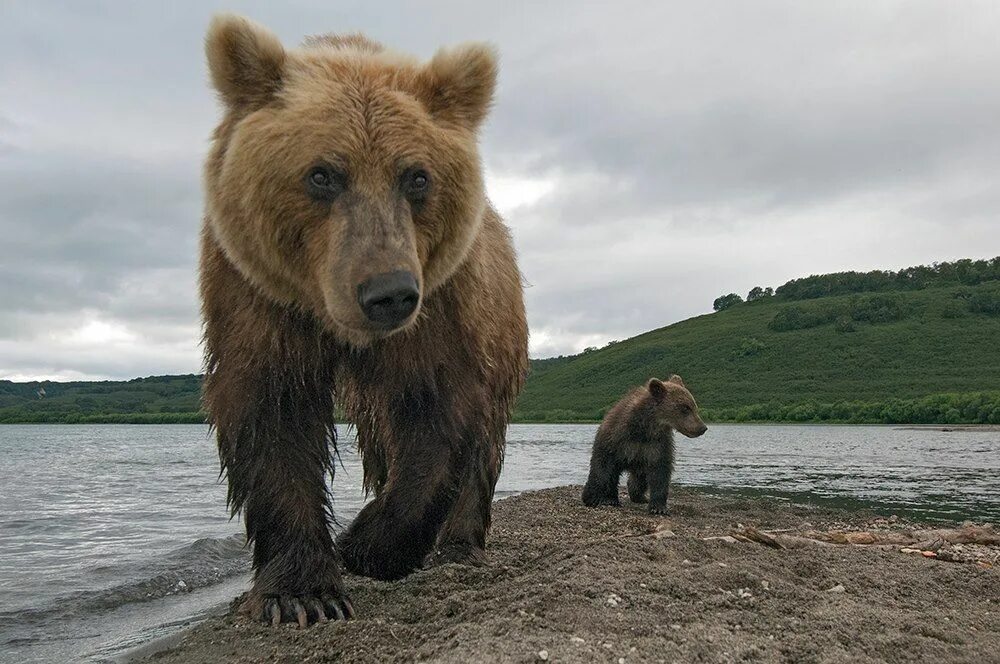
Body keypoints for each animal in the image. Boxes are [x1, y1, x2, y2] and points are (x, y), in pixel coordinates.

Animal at [201, 15, 532, 628]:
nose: (388, 294)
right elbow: (273, 412)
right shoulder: (258, 298)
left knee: (484, 441)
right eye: (322, 174)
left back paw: (459, 544)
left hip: (503, 330)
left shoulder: (442, 307)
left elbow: (440, 412)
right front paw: (303, 592)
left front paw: (368, 546)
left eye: (417, 177)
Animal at [584, 378, 708, 512]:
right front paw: (592, 498)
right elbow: (602, 466)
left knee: (639, 479)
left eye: (694, 406)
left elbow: (660, 471)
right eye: (685, 408)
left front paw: (658, 507)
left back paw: (639, 496)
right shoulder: (615, 440)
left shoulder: (656, 445)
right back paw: (610, 498)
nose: (702, 427)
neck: (644, 428)